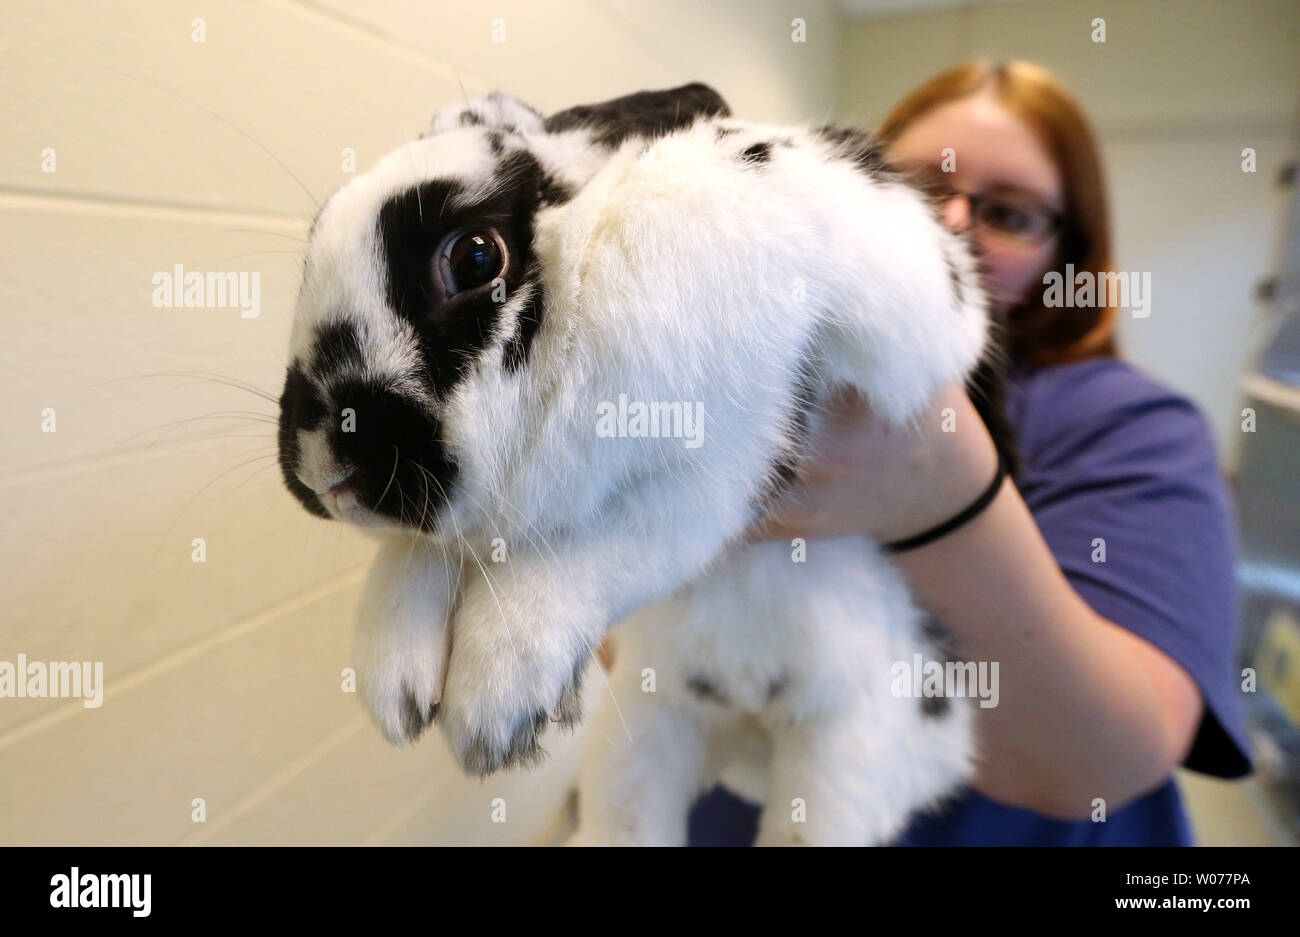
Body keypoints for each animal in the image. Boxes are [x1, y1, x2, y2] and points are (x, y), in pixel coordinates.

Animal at [276, 83, 1013, 842]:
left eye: (476, 259)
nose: (323, 471)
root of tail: (749, 733)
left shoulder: (727, 466)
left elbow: (594, 554)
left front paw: (494, 701)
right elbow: (425, 548)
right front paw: (393, 678)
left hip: (848, 748)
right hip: (641, 739)